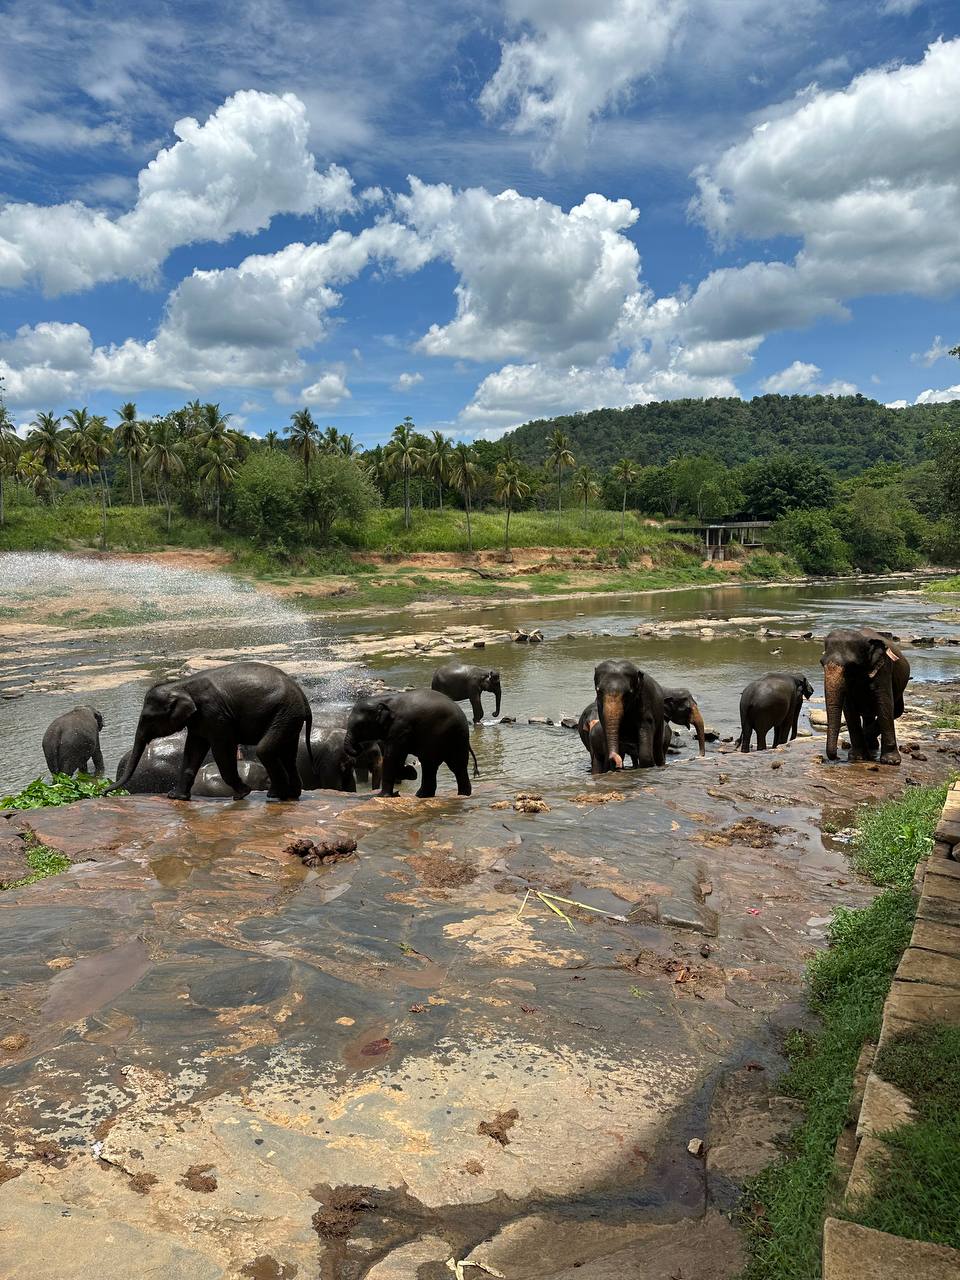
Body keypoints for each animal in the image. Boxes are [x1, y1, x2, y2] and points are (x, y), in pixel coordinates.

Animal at [110, 660, 312, 798]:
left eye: (147, 718)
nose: (105, 792)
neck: (180, 685)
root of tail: (303, 696)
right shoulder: (199, 720)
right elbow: (193, 749)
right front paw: (176, 797)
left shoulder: (215, 715)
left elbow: (222, 749)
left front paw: (242, 794)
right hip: (288, 716)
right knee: (288, 754)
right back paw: (290, 795)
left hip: (285, 712)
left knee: (266, 750)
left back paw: (277, 795)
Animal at [824, 627, 911, 762]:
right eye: (821, 662)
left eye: (851, 666)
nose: (837, 757)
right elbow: (849, 709)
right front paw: (858, 757)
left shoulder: (884, 667)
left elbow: (884, 703)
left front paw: (891, 761)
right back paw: (871, 745)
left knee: (897, 711)